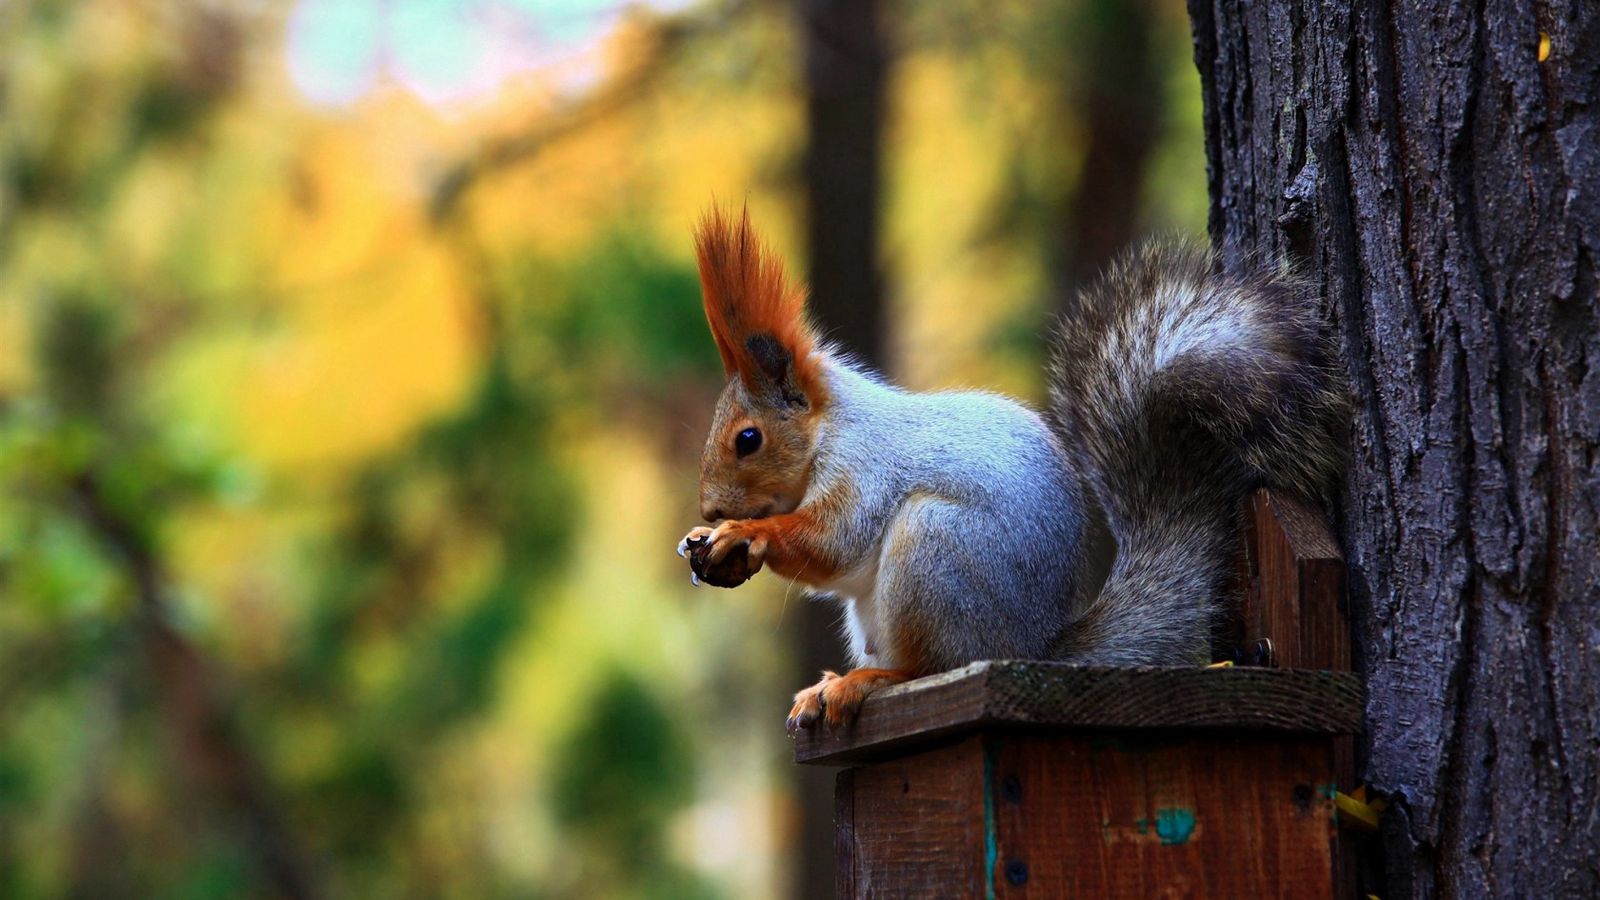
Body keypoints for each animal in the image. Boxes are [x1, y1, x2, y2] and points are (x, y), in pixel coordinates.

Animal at [668, 206, 1344, 733]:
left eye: (748, 439)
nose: (709, 509)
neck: (828, 429)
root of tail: (1030, 645)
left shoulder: (865, 466)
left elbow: (835, 541)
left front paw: (742, 535)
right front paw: (704, 539)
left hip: (935, 551)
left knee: (929, 667)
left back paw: (868, 679)